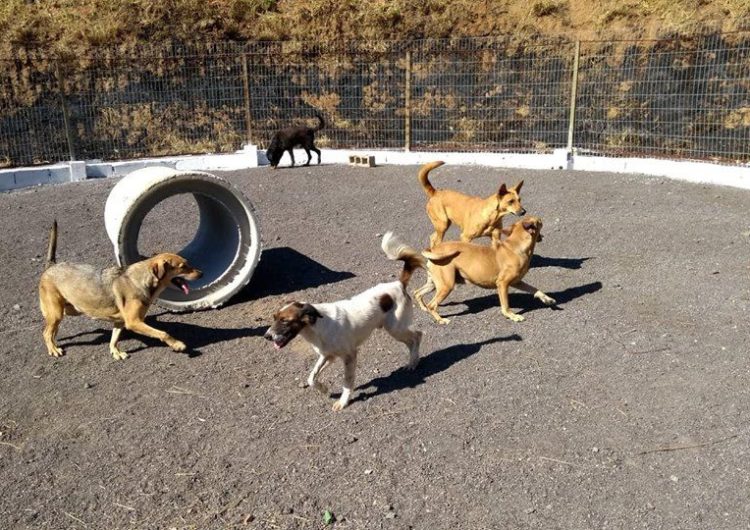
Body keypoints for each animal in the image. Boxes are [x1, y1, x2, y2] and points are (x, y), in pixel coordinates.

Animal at [37, 219, 203, 358]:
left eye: (187, 263)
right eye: (183, 266)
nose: (201, 273)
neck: (142, 279)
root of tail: (51, 266)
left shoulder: (120, 321)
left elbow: (114, 338)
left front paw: (115, 352)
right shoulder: (134, 322)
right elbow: (163, 333)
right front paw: (178, 345)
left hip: (68, 310)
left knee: (51, 329)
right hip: (57, 312)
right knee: (46, 332)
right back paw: (53, 349)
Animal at [268, 233, 426, 410]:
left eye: (285, 321)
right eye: (274, 318)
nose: (267, 336)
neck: (318, 326)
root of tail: (398, 284)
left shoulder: (350, 356)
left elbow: (347, 382)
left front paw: (343, 401)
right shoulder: (327, 355)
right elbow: (312, 377)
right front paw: (323, 389)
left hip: (395, 328)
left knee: (417, 335)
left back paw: (413, 362)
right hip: (395, 328)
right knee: (412, 340)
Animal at [414, 214, 556, 322]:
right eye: (539, 221)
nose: (540, 218)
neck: (515, 246)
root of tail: (433, 249)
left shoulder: (517, 282)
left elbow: (535, 289)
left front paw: (547, 299)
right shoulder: (502, 284)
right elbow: (505, 306)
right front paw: (512, 315)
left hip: (434, 283)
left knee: (417, 293)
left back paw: (423, 308)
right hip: (446, 285)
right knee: (432, 305)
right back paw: (441, 320)